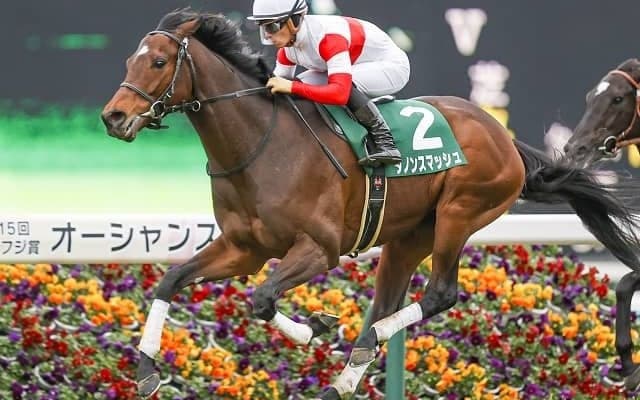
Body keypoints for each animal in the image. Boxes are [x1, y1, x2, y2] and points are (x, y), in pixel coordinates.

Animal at [101, 10, 640, 399]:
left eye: (157, 62)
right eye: (129, 61)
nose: (113, 117)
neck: (261, 145)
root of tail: (502, 135)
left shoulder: (319, 248)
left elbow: (262, 297)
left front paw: (312, 327)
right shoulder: (244, 248)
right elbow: (171, 280)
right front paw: (146, 368)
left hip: (460, 212)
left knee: (440, 293)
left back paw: (361, 354)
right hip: (408, 237)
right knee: (384, 304)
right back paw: (345, 376)